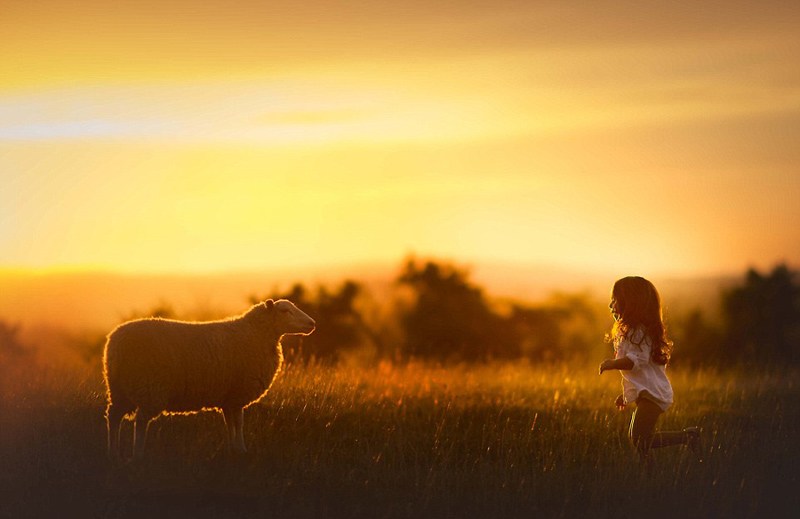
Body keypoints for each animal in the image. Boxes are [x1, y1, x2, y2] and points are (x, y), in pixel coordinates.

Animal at [100, 298, 312, 462]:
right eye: (285, 311)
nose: (313, 324)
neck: (257, 334)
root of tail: (115, 343)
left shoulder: (228, 398)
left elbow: (229, 423)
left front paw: (232, 449)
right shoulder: (237, 395)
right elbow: (239, 423)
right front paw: (242, 449)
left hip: (120, 390)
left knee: (114, 417)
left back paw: (113, 453)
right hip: (150, 388)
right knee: (141, 421)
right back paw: (138, 455)